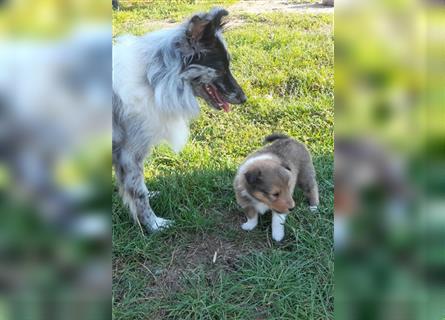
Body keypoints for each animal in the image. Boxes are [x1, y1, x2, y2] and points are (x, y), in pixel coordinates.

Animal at [112, 8, 246, 232]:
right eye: (220, 68)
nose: (244, 99)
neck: (152, 80)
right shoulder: (129, 153)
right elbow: (138, 192)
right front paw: (154, 225)